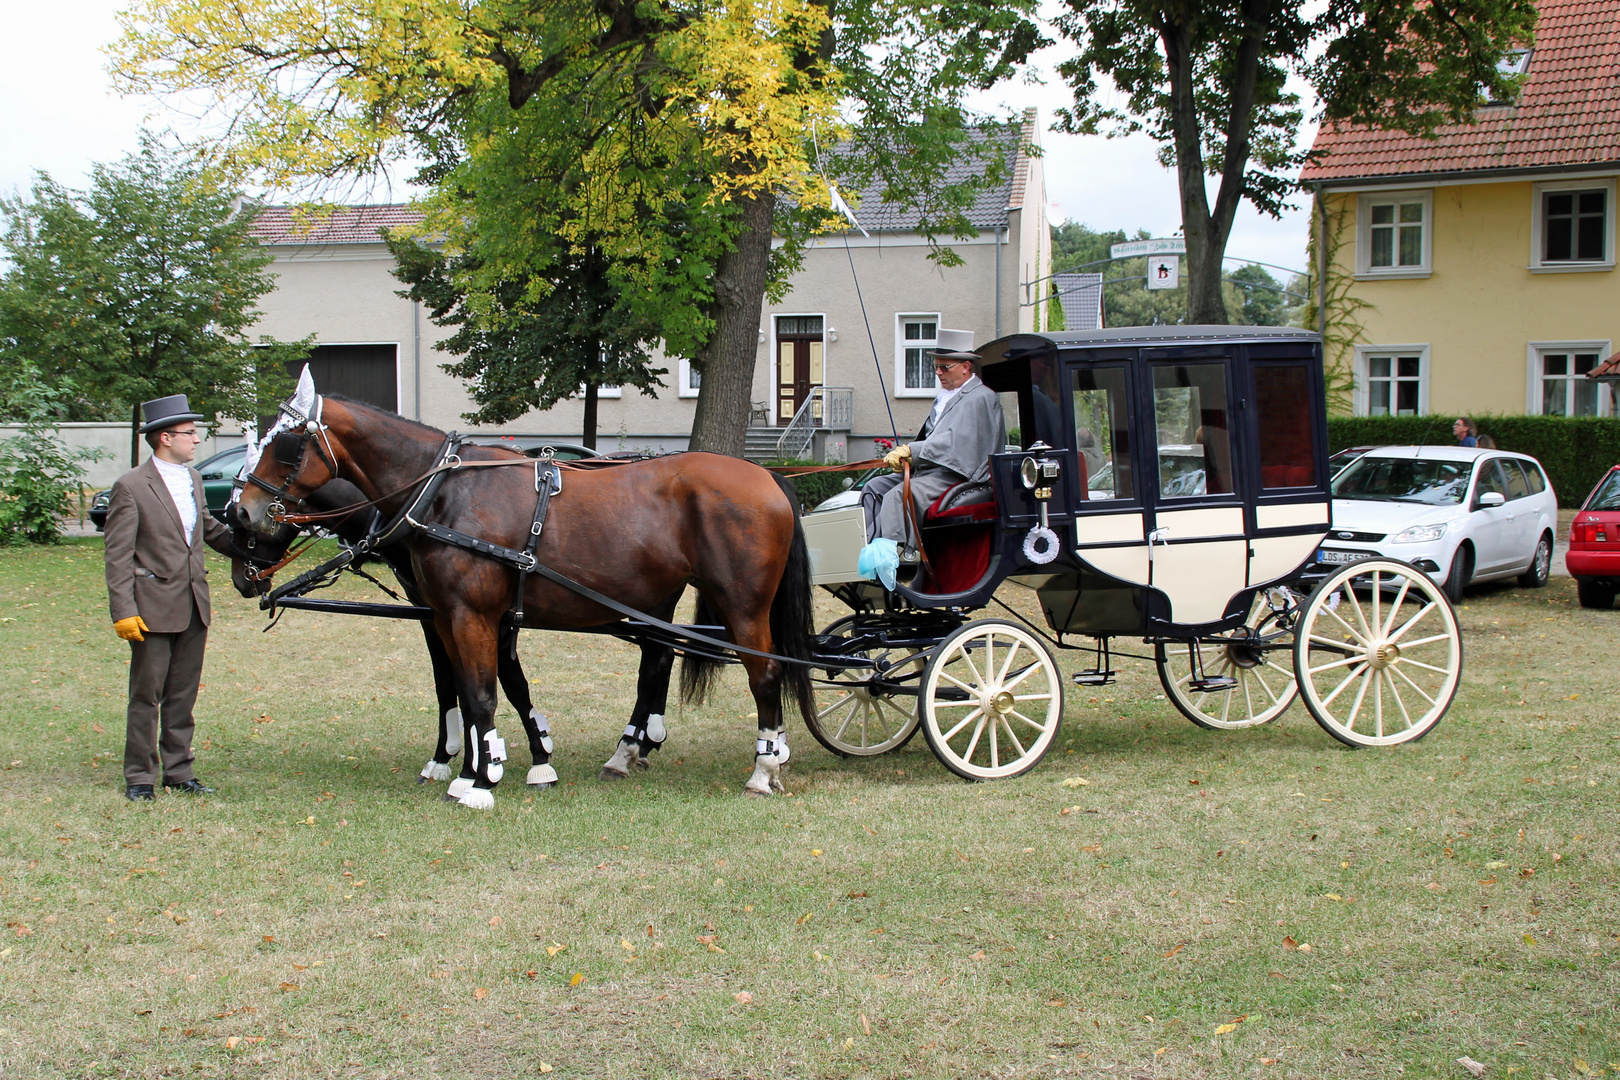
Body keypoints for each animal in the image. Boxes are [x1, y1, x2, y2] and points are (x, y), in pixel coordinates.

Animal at [234, 393, 816, 806]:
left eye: (285, 444)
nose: (240, 510)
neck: (444, 494)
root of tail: (767, 476)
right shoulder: (447, 616)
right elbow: (469, 691)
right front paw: (473, 768)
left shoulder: (471, 615)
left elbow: (483, 693)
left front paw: (484, 781)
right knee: (659, 660)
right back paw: (636, 751)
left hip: (742, 606)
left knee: (764, 675)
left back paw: (763, 767)